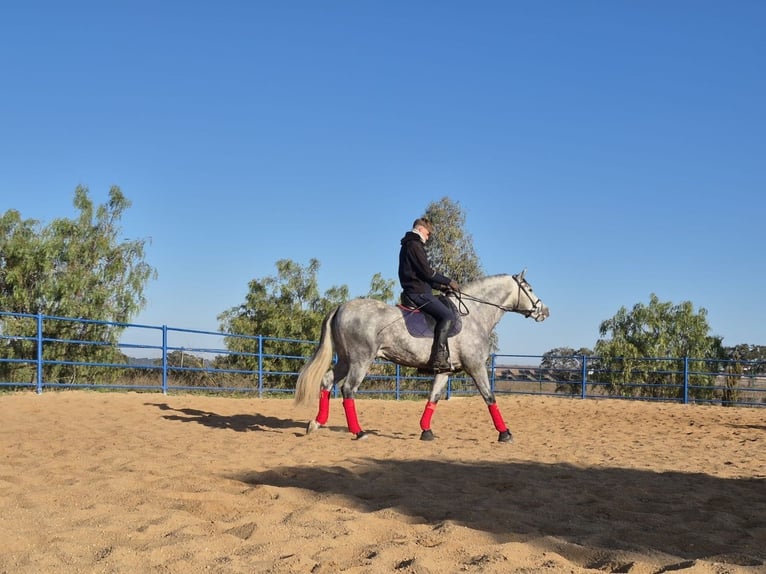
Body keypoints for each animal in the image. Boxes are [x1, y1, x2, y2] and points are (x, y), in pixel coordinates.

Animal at [294, 272, 552, 444]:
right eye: (529, 289)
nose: (545, 311)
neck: (474, 314)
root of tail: (341, 307)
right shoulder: (476, 366)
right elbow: (489, 398)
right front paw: (505, 433)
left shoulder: (446, 370)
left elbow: (433, 398)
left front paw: (426, 431)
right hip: (361, 360)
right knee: (348, 389)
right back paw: (359, 432)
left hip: (346, 359)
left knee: (327, 381)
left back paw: (316, 423)